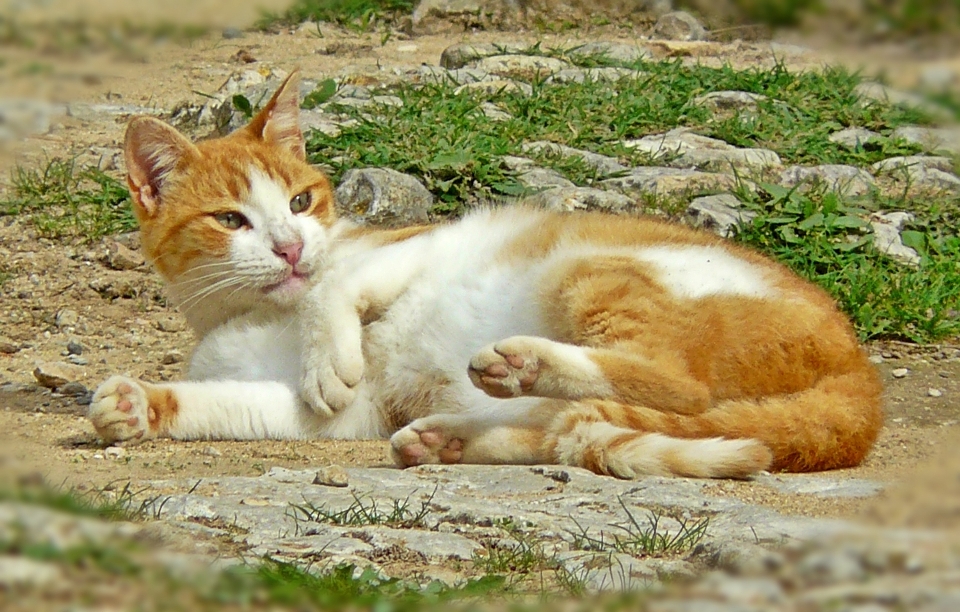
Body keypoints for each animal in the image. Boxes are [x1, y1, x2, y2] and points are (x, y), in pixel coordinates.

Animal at [90, 68, 884, 478]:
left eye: (299, 202)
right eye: (231, 221)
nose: (290, 248)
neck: (257, 309)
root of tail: (860, 371)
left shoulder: (411, 249)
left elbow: (335, 294)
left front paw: (327, 349)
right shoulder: (346, 413)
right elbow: (229, 403)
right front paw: (136, 406)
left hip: (588, 269)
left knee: (670, 382)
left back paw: (524, 363)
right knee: (572, 428)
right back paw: (451, 439)